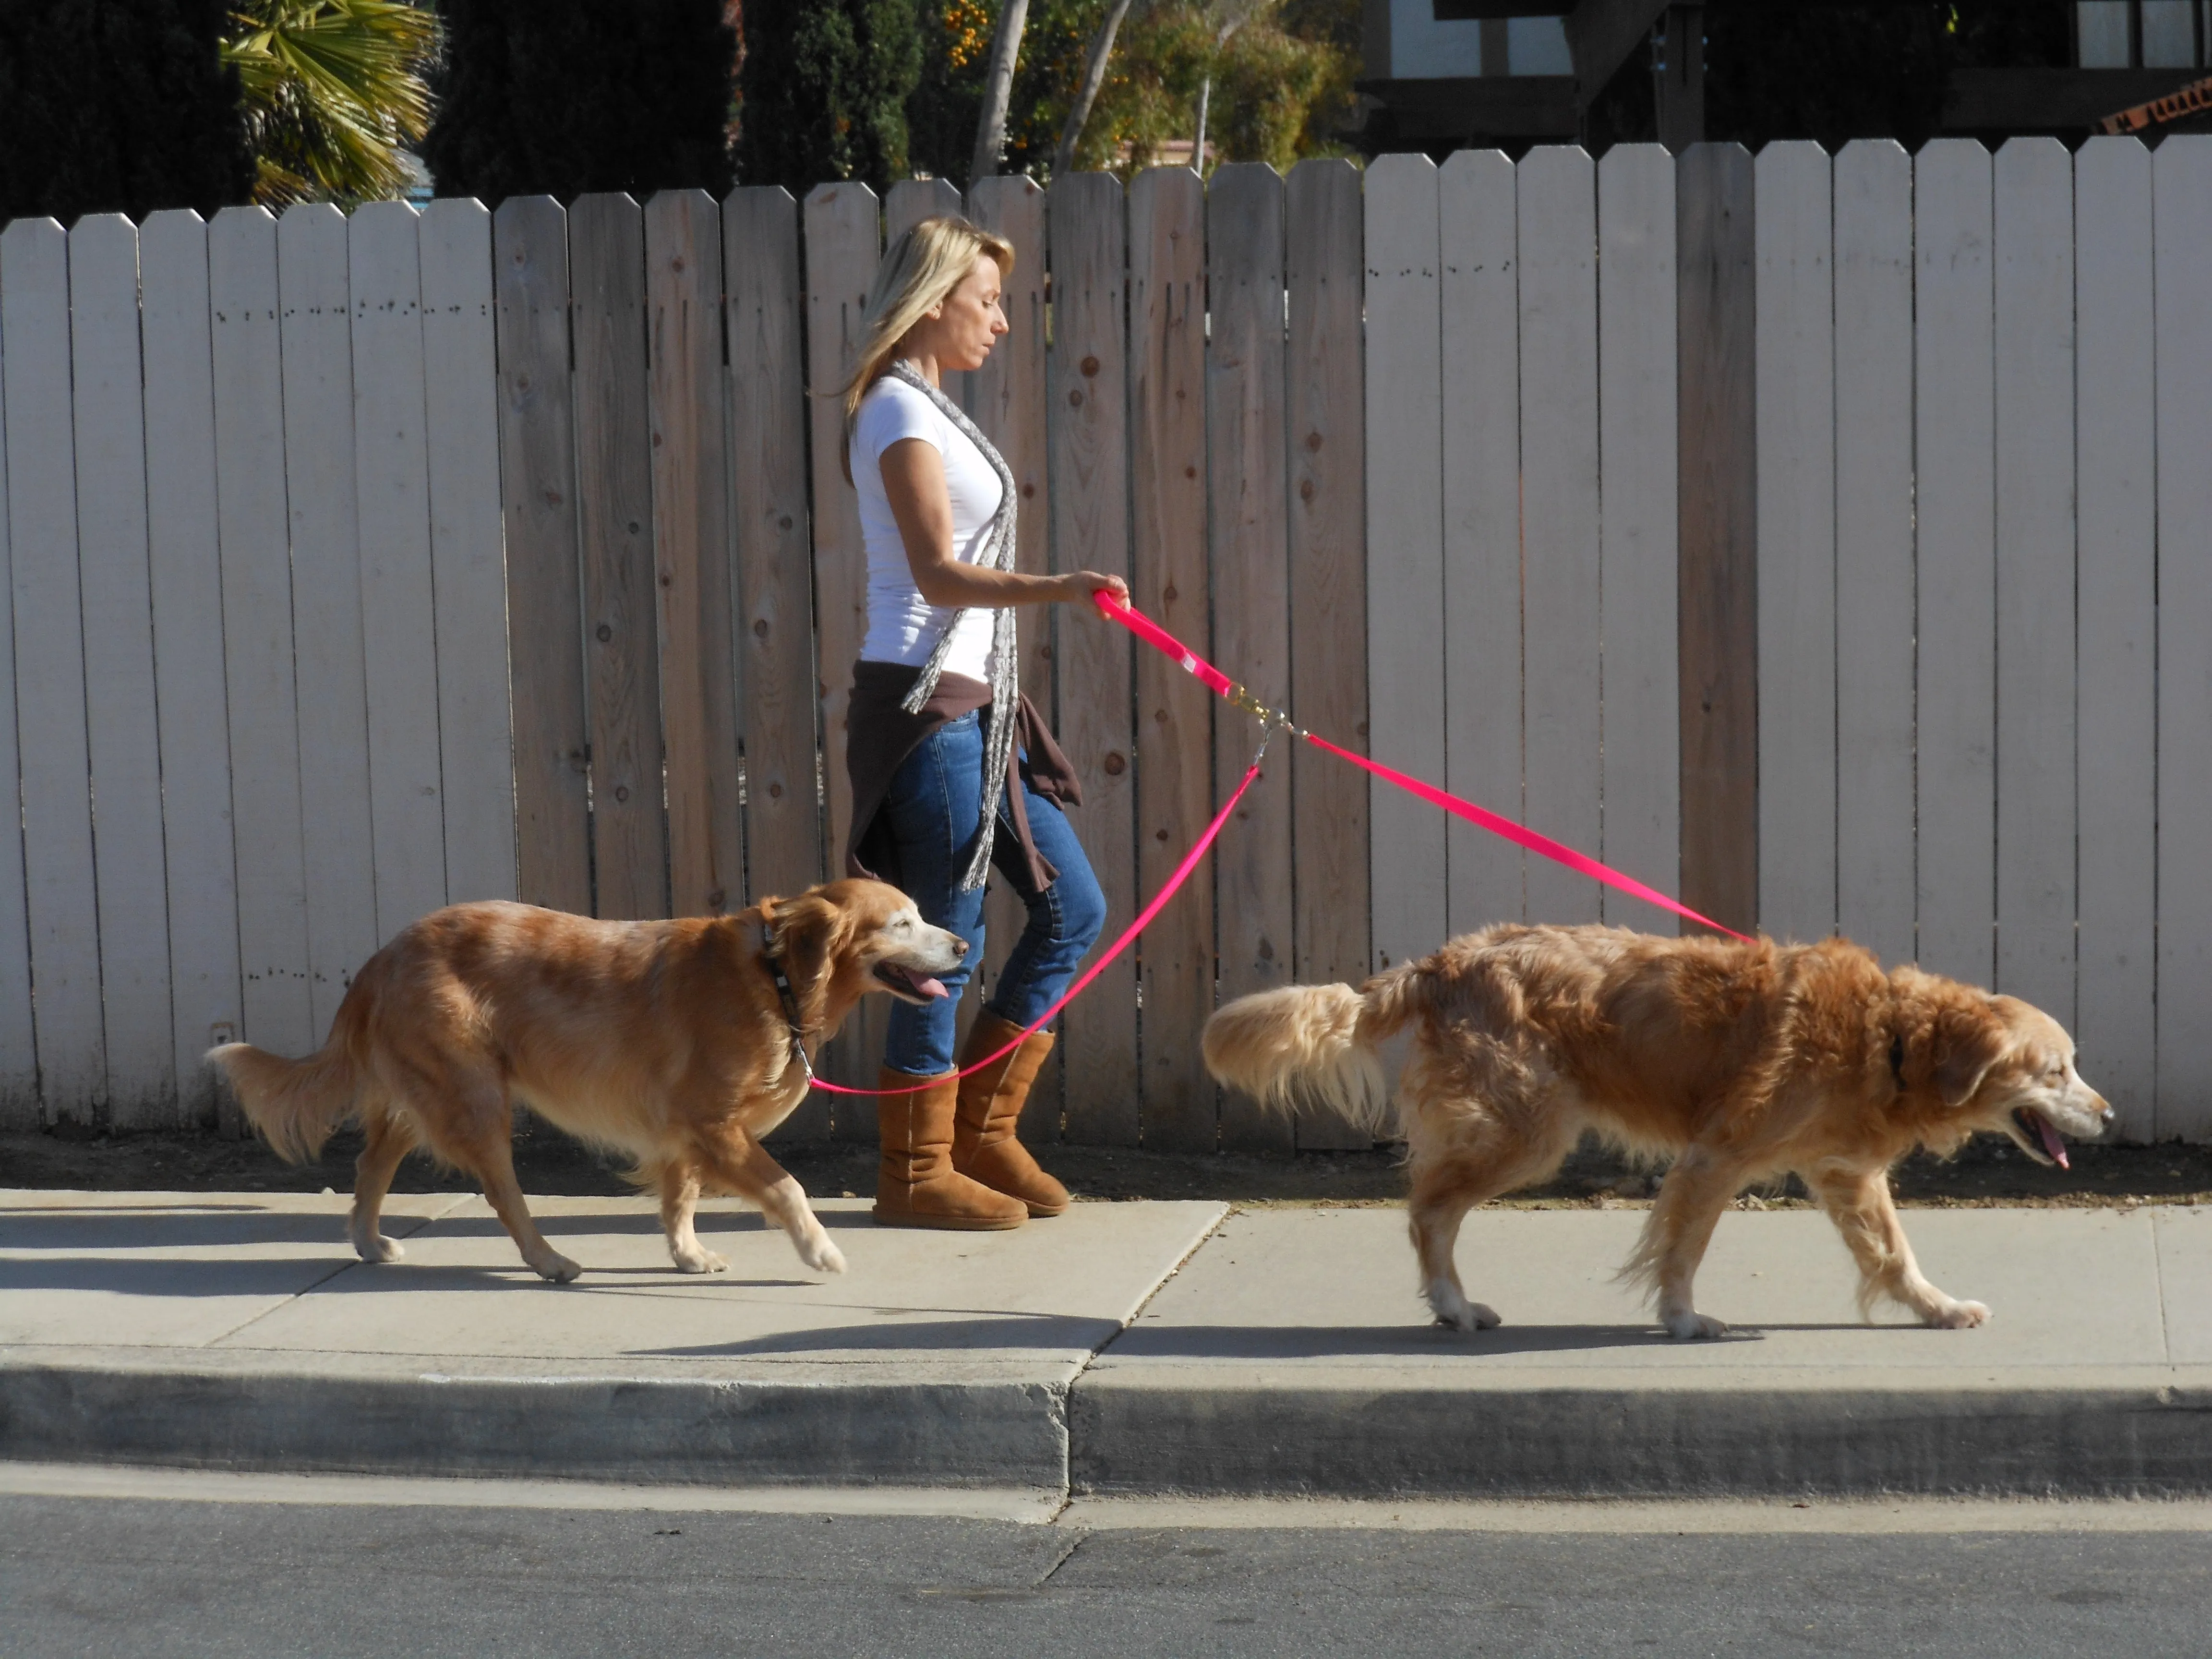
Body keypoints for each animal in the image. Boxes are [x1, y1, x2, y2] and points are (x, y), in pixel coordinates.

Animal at [209, 885, 969, 1283]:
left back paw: (369, 1243)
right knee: (503, 1195)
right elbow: (788, 1187)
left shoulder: (684, 1129)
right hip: (475, 1099)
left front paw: (687, 1254)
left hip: (422, 1096)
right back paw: (549, 1260)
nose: (964, 945)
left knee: (370, 1166)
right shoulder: (713, 1123)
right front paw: (820, 1249)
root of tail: (382, 956)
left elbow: (680, 1198)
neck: (777, 973)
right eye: (903, 923)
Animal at [1203, 929, 2115, 1345]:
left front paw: (1936, 1308)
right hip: (1527, 1133)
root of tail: (1442, 962)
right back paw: (1454, 1305)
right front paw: (1682, 1320)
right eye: (2057, 1070)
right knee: (1427, 1209)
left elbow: (1893, 1255)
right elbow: (1683, 1250)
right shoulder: (1717, 1156)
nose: (2108, 1115)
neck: (1888, 1035)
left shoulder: (1842, 1172)